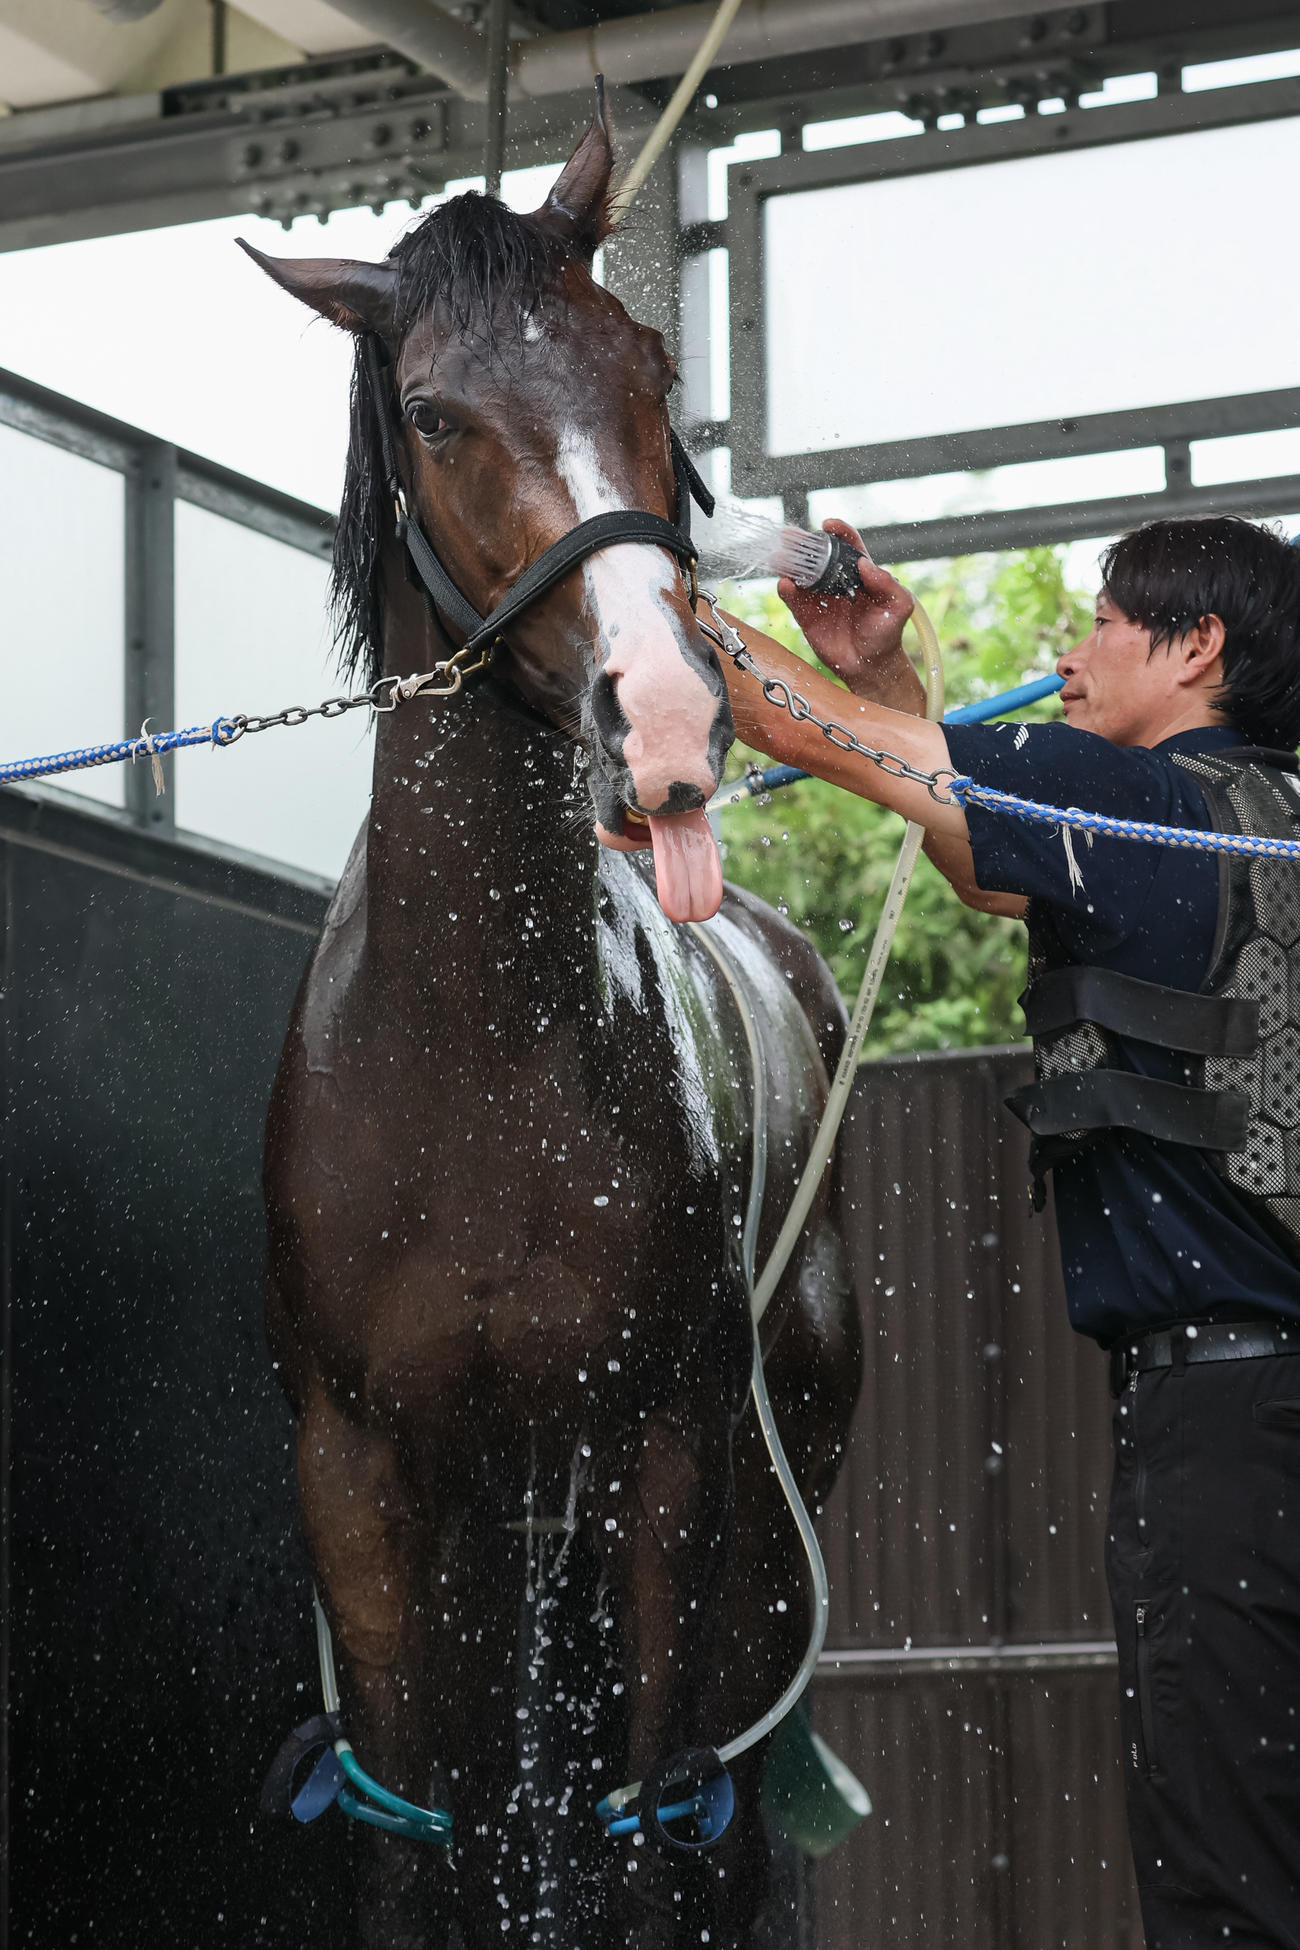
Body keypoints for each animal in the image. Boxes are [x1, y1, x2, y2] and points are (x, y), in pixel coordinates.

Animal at [250, 99, 863, 1950]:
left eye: (646, 366)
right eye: (436, 412)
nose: (662, 713)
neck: (476, 1054)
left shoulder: (665, 1457)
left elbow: (646, 1833)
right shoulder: (364, 1481)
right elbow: (419, 1836)